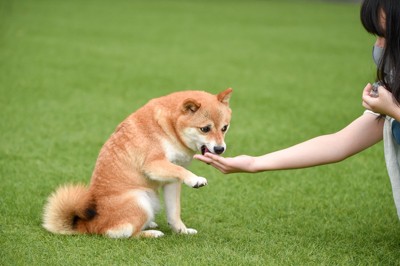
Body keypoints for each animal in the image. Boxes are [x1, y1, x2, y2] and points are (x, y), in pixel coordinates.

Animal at [42, 88, 233, 238]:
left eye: (225, 128)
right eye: (205, 129)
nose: (220, 149)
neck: (168, 128)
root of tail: (89, 225)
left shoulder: (172, 181)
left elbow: (174, 213)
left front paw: (182, 231)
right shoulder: (152, 164)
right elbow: (182, 173)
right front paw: (195, 179)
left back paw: (150, 225)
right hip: (140, 200)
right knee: (126, 234)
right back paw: (150, 233)